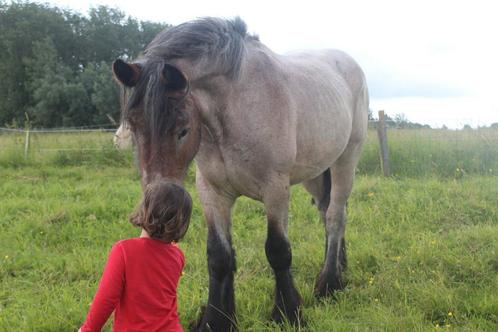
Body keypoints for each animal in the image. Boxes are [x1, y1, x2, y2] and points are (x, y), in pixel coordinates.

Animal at [113, 16, 370, 330]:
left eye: (183, 129)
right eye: (134, 127)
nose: (159, 211)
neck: (236, 109)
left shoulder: (275, 189)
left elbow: (278, 251)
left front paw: (287, 313)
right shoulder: (212, 192)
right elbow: (219, 256)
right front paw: (216, 319)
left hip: (346, 160)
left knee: (336, 215)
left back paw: (329, 283)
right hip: (316, 172)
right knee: (326, 211)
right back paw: (339, 268)